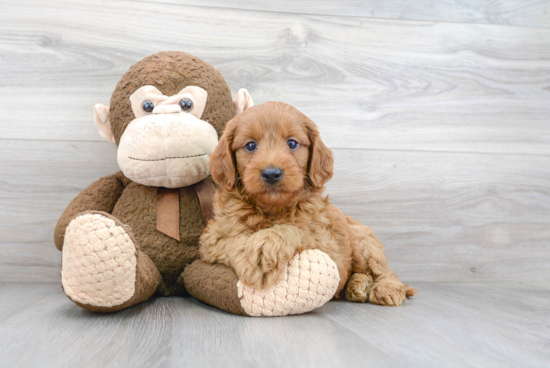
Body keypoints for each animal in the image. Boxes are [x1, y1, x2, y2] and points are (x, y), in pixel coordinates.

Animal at [201, 102, 416, 306]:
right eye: (250, 145)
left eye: (292, 143)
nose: (271, 173)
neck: (273, 209)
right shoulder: (211, 238)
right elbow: (235, 238)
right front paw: (252, 259)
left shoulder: (328, 245)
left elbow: (295, 230)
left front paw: (265, 247)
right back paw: (358, 286)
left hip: (363, 242)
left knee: (383, 270)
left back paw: (386, 288)